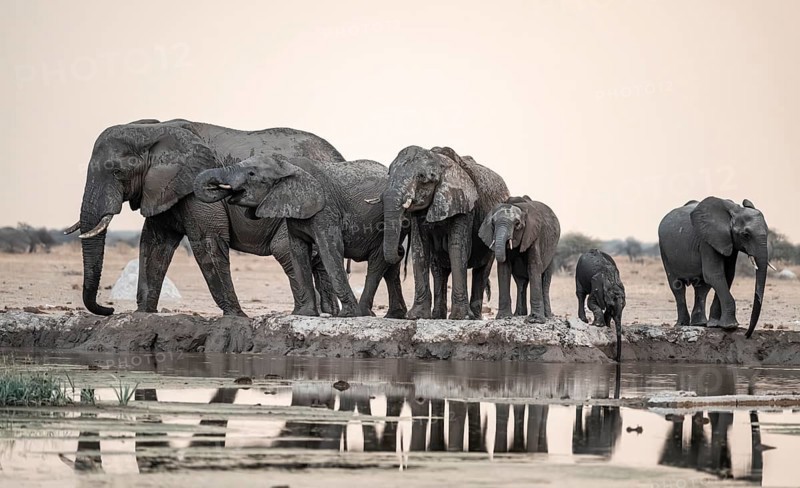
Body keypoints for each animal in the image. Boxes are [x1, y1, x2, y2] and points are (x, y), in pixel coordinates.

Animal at [65, 119, 345, 317]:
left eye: (117, 171)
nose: (109, 309)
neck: (153, 130)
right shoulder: (163, 189)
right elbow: (154, 243)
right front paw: (142, 314)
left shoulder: (196, 187)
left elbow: (207, 242)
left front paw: (237, 317)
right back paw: (328, 314)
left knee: (285, 249)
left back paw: (304, 313)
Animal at [194, 154, 408, 318]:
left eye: (252, 174)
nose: (215, 186)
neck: (288, 166)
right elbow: (298, 251)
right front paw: (305, 314)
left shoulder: (325, 210)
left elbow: (330, 251)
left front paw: (347, 315)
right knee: (391, 267)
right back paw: (389, 315)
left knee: (378, 262)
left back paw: (363, 313)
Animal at [381, 146, 510, 320]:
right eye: (389, 174)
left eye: (421, 177)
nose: (400, 251)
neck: (439, 161)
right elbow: (419, 249)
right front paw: (416, 316)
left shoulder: (464, 205)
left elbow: (457, 248)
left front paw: (461, 317)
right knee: (439, 270)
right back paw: (437, 316)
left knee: (482, 271)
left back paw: (475, 316)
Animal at [658, 197, 771, 337]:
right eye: (746, 235)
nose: (747, 334)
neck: (733, 212)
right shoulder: (707, 240)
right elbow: (714, 274)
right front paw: (730, 326)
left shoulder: (729, 242)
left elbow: (727, 275)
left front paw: (715, 325)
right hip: (664, 250)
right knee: (677, 286)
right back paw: (682, 324)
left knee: (701, 288)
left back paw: (700, 324)